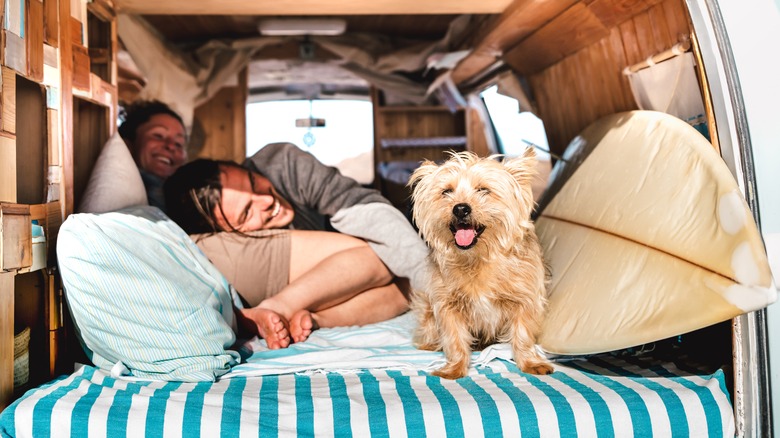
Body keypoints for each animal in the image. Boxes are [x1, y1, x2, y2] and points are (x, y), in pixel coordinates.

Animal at [408, 149, 556, 378]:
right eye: (446, 191)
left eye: (483, 190)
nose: (460, 209)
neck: (477, 258)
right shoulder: (447, 304)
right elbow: (454, 339)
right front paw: (454, 367)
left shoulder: (525, 299)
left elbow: (522, 334)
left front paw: (530, 362)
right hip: (426, 308)